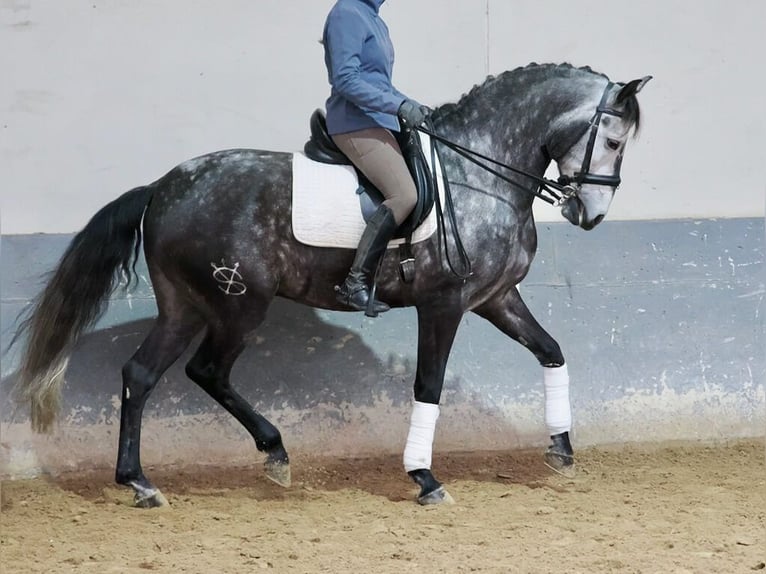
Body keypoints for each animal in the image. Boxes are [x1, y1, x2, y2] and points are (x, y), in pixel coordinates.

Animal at [12, 64, 648, 508]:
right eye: (614, 142)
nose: (589, 214)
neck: (480, 172)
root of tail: (161, 187)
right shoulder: (443, 304)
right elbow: (429, 384)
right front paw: (424, 477)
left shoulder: (496, 299)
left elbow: (551, 351)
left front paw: (561, 449)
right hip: (238, 305)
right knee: (206, 371)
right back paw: (271, 454)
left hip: (184, 306)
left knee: (143, 375)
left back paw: (142, 483)